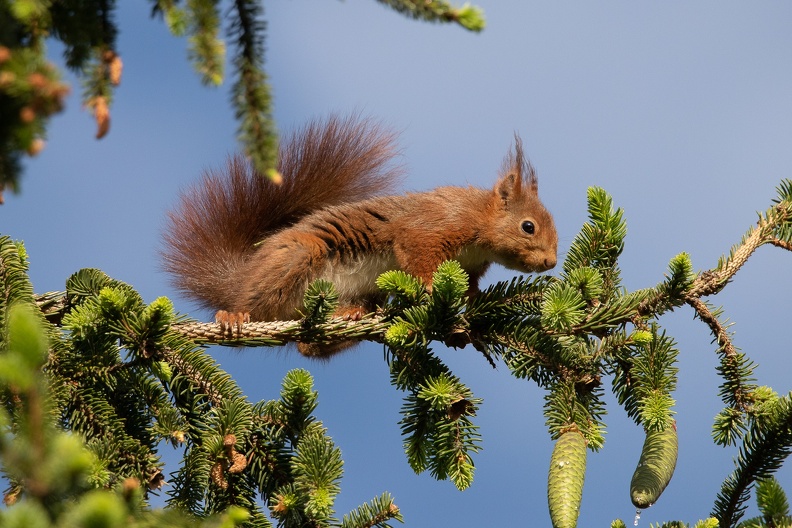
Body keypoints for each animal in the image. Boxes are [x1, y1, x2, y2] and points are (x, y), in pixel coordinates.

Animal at [161, 115, 556, 354]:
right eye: (529, 226)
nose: (551, 262)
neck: (479, 219)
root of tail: (242, 273)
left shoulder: (472, 264)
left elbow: (472, 283)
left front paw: (473, 301)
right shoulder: (434, 226)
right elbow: (417, 254)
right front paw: (432, 288)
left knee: (307, 348)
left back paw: (349, 316)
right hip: (296, 257)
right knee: (255, 306)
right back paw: (233, 317)